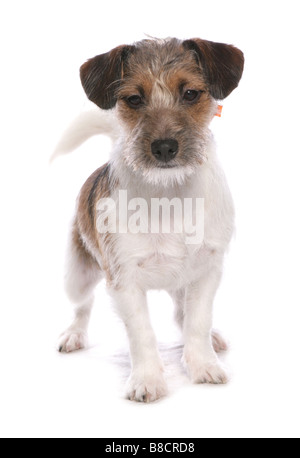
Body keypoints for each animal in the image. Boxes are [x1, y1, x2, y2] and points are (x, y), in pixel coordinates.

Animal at [56, 38, 244, 404]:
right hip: (78, 274)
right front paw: (147, 380)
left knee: (181, 313)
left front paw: (204, 365)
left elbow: (197, 323)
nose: (165, 147)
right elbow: (142, 334)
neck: (169, 193)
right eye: (133, 99)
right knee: (82, 305)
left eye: (190, 93)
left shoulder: (206, 271)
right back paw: (73, 335)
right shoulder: (124, 280)